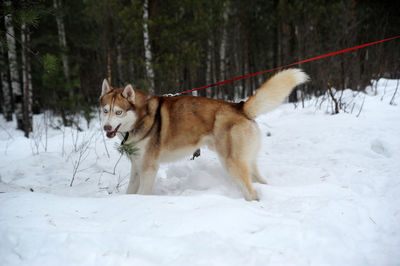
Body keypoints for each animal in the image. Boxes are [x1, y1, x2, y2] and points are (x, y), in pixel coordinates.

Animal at [100, 69, 310, 201]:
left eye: (118, 112)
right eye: (105, 111)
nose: (106, 127)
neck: (140, 118)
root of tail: (239, 106)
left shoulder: (149, 169)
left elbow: (143, 194)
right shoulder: (137, 168)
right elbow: (130, 192)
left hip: (231, 163)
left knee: (251, 192)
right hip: (247, 162)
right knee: (260, 180)